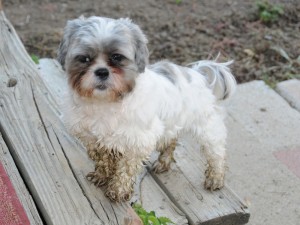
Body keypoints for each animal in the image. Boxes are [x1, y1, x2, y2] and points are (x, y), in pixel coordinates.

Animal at [57, 15, 237, 202]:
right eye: (84, 59)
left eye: (117, 57)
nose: (101, 71)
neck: (106, 102)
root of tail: (198, 74)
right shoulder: (93, 138)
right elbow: (102, 158)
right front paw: (102, 175)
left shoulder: (137, 141)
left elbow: (126, 168)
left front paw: (119, 190)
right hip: (170, 124)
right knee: (171, 141)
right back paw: (164, 162)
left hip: (207, 127)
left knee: (216, 152)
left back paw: (215, 178)